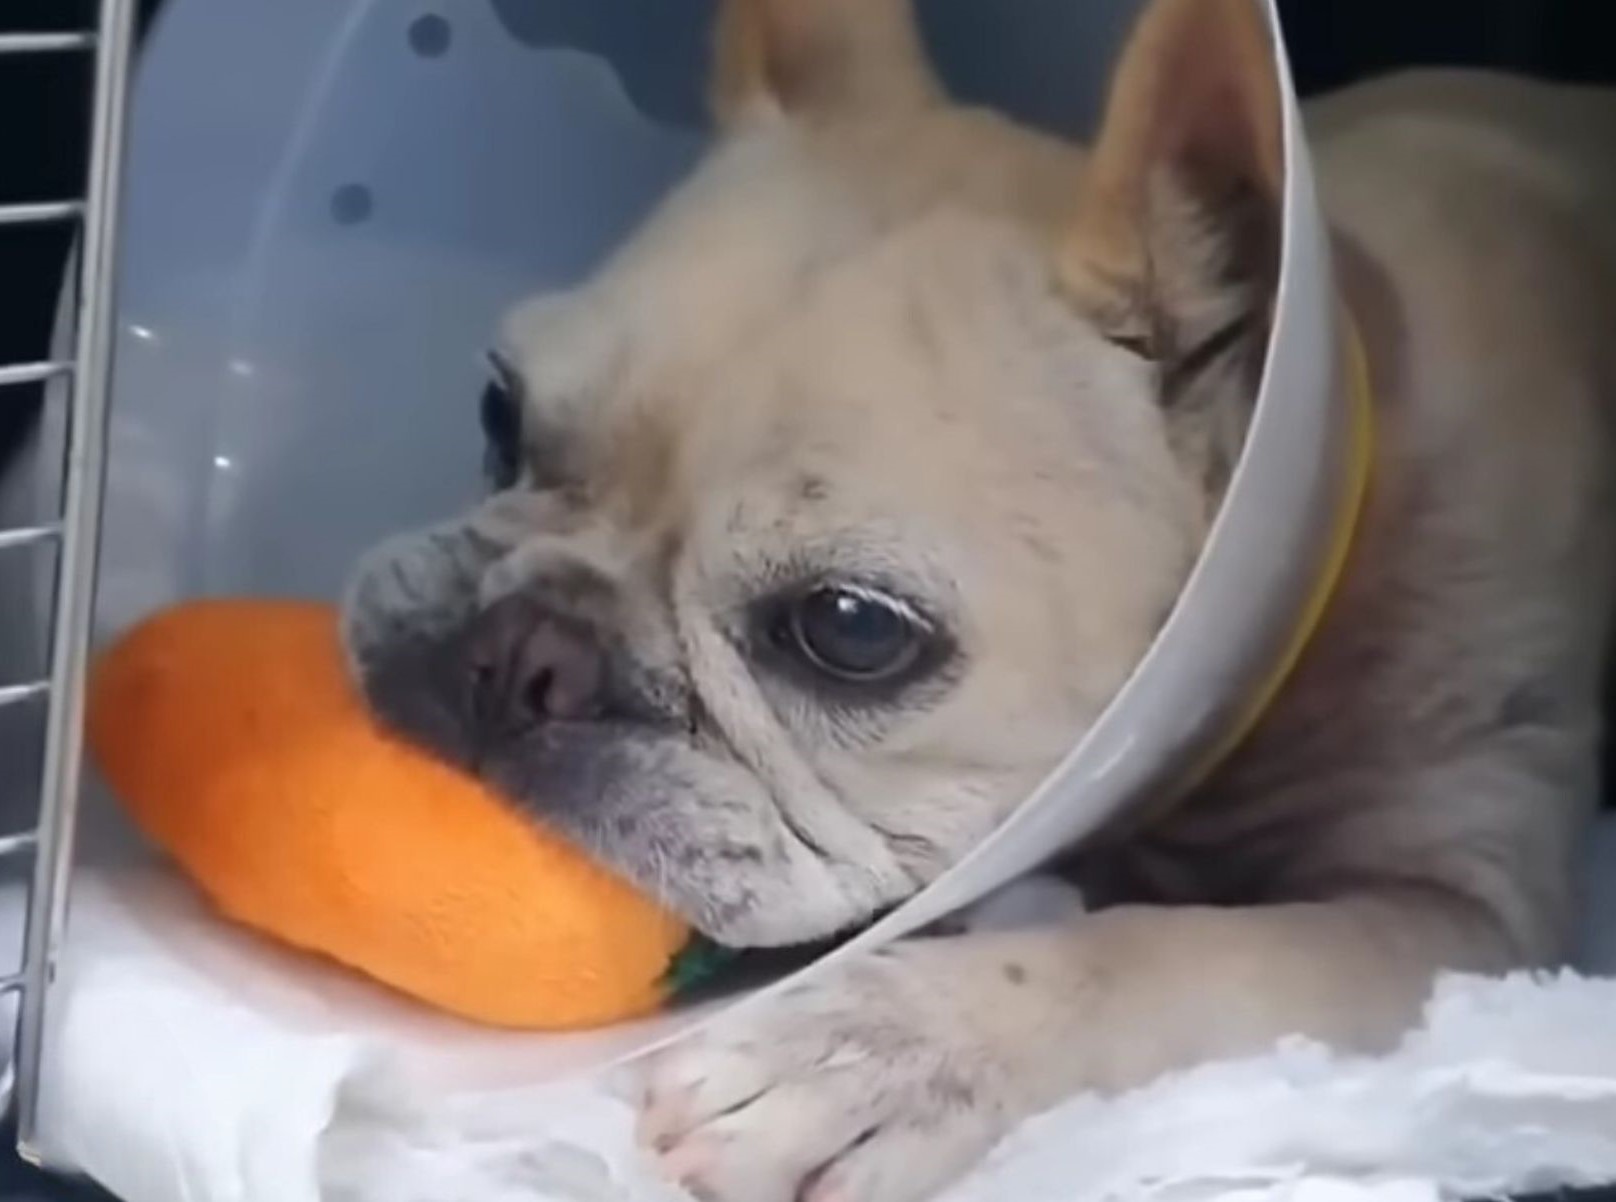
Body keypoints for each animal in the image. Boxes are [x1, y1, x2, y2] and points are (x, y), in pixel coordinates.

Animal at [337, 0, 1616, 1195]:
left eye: (850, 629)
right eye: (498, 412)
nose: (517, 649)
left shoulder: (1461, 919)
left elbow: (1180, 955)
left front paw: (882, 1047)